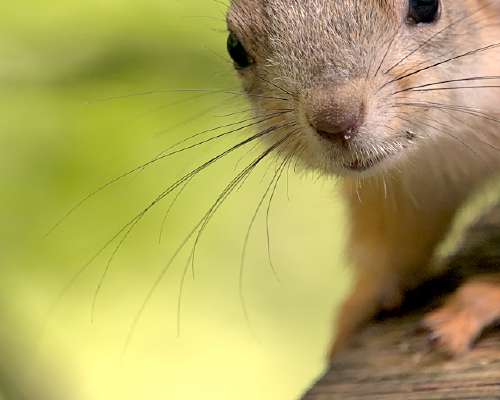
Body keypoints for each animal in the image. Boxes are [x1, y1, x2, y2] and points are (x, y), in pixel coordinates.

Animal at [227, 0, 500, 356]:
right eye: (235, 47)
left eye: (426, 6)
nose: (335, 121)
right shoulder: (420, 172)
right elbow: (397, 233)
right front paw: (359, 303)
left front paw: (479, 301)